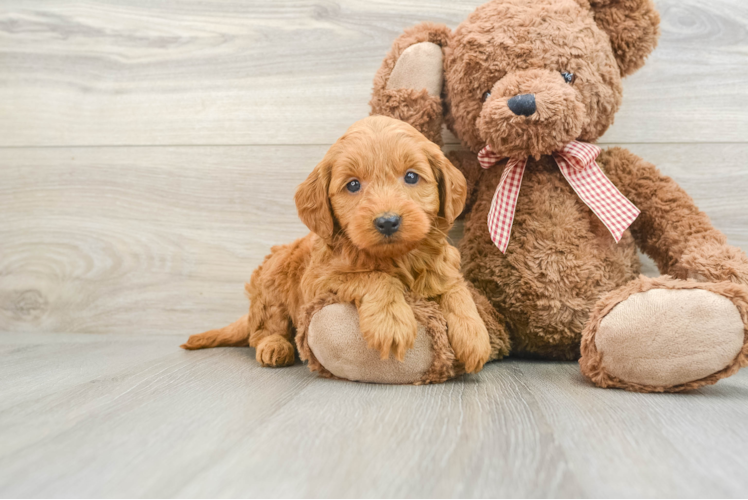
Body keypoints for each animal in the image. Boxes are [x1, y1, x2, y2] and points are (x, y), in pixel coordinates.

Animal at [183, 116, 490, 376]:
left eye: (412, 177)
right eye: (353, 185)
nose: (387, 222)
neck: (396, 258)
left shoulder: (445, 267)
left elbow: (458, 292)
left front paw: (475, 337)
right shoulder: (319, 280)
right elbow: (375, 277)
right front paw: (391, 322)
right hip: (272, 288)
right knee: (263, 331)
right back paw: (275, 347)